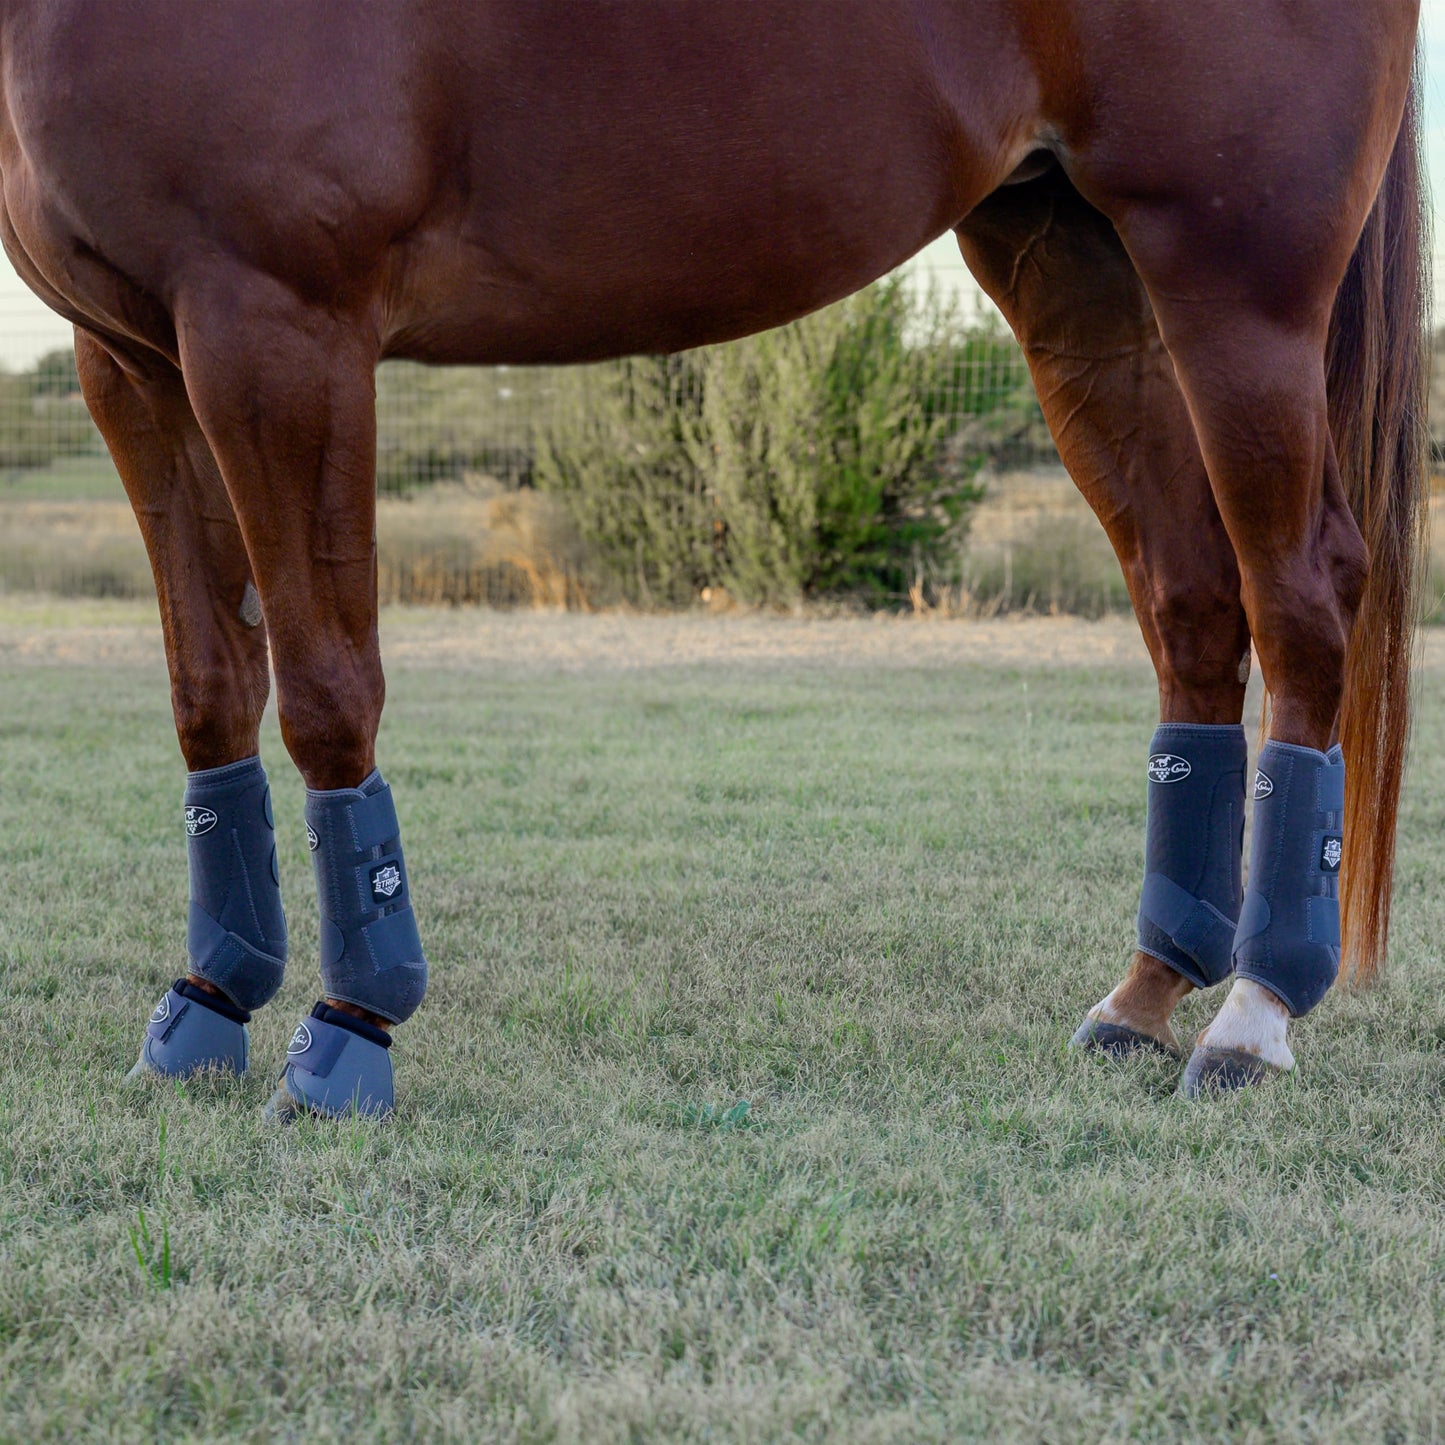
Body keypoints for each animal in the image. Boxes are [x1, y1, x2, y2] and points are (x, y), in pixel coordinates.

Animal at [0, 0, 1424, 1113]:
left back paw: (1250, 1018)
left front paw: (349, 1030)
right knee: (1192, 606)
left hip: (1235, 288)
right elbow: (209, 692)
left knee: (1302, 600)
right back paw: (1142, 998)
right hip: (1076, 273)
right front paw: (207, 1004)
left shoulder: (277, 330)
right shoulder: (133, 363)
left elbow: (324, 690)